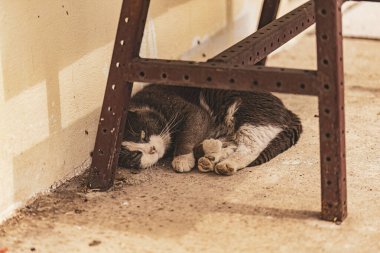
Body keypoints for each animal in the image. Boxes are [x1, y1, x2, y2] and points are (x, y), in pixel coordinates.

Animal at [117, 84, 302, 175]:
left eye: (143, 134)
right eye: (135, 155)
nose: (152, 149)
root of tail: (287, 110)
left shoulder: (193, 112)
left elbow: (187, 134)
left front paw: (182, 160)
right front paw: (208, 150)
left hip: (250, 116)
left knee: (250, 148)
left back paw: (226, 164)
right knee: (235, 144)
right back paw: (211, 159)